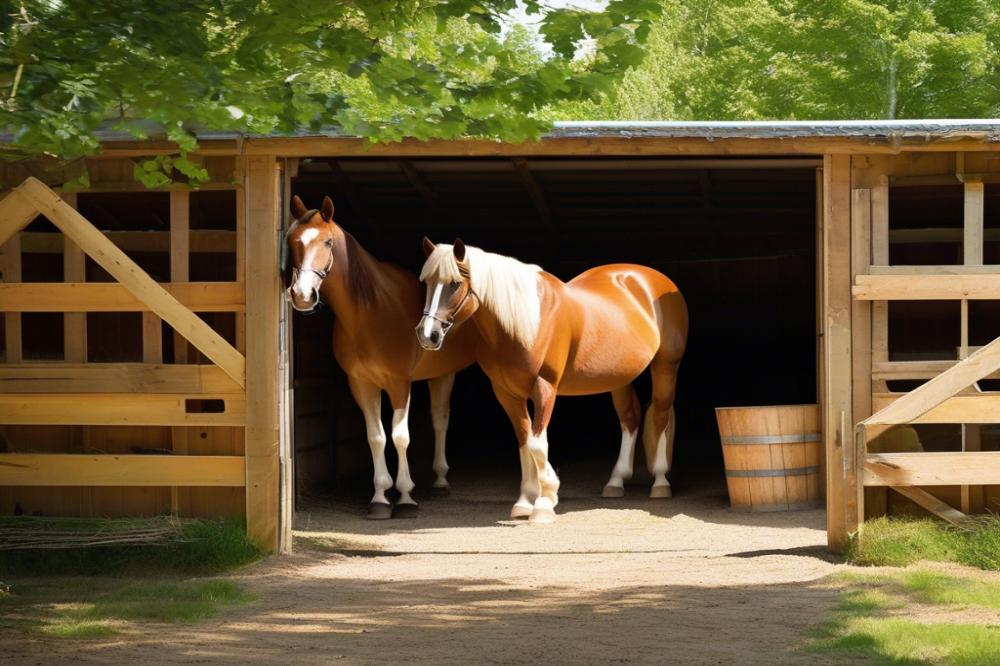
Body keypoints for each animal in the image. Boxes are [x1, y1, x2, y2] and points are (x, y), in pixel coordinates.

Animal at [286, 195, 480, 516]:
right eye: (292, 241)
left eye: (327, 242)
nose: (302, 295)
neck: (371, 311)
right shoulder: (361, 383)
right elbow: (375, 437)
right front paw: (379, 498)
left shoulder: (399, 383)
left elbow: (400, 436)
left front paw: (405, 497)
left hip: (444, 373)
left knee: (440, 420)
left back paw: (440, 482)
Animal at [414, 239, 688, 524]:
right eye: (427, 282)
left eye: (455, 284)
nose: (427, 335)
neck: (528, 321)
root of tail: (656, 280)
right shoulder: (507, 393)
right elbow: (524, 442)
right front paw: (525, 501)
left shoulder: (544, 388)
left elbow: (537, 445)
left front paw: (545, 501)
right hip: (621, 378)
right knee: (630, 419)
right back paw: (616, 481)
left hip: (666, 367)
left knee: (660, 416)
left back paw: (660, 483)